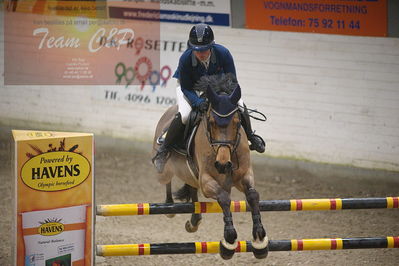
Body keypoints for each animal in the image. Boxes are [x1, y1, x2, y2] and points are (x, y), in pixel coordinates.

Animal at [153, 75, 268, 260]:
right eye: (211, 122)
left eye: (237, 122)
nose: (222, 164)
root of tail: (170, 110)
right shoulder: (207, 181)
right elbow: (224, 198)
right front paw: (229, 241)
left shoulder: (245, 175)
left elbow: (252, 196)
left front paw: (259, 239)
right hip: (167, 169)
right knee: (167, 180)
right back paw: (169, 205)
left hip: (191, 175)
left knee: (192, 190)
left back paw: (194, 221)